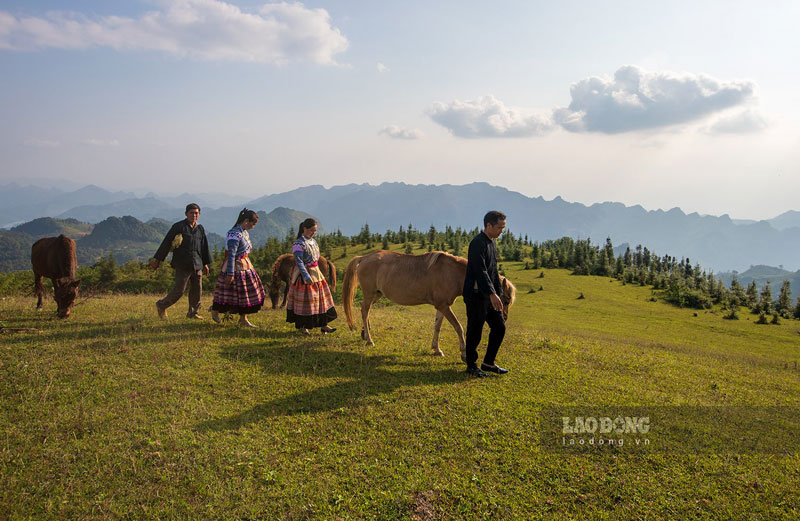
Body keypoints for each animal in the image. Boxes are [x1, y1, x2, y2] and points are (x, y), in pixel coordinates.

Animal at [340, 251, 516, 358]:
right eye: (506, 300)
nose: (505, 317)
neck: (452, 273)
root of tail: (364, 257)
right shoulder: (444, 306)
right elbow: (458, 327)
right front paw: (464, 352)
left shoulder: (441, 306)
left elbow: (437, 326)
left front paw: (436, 349)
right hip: (370, 294)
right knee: (364, 311)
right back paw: (369, 340)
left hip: (376, 294)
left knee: (365, 310)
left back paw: (365, 334)